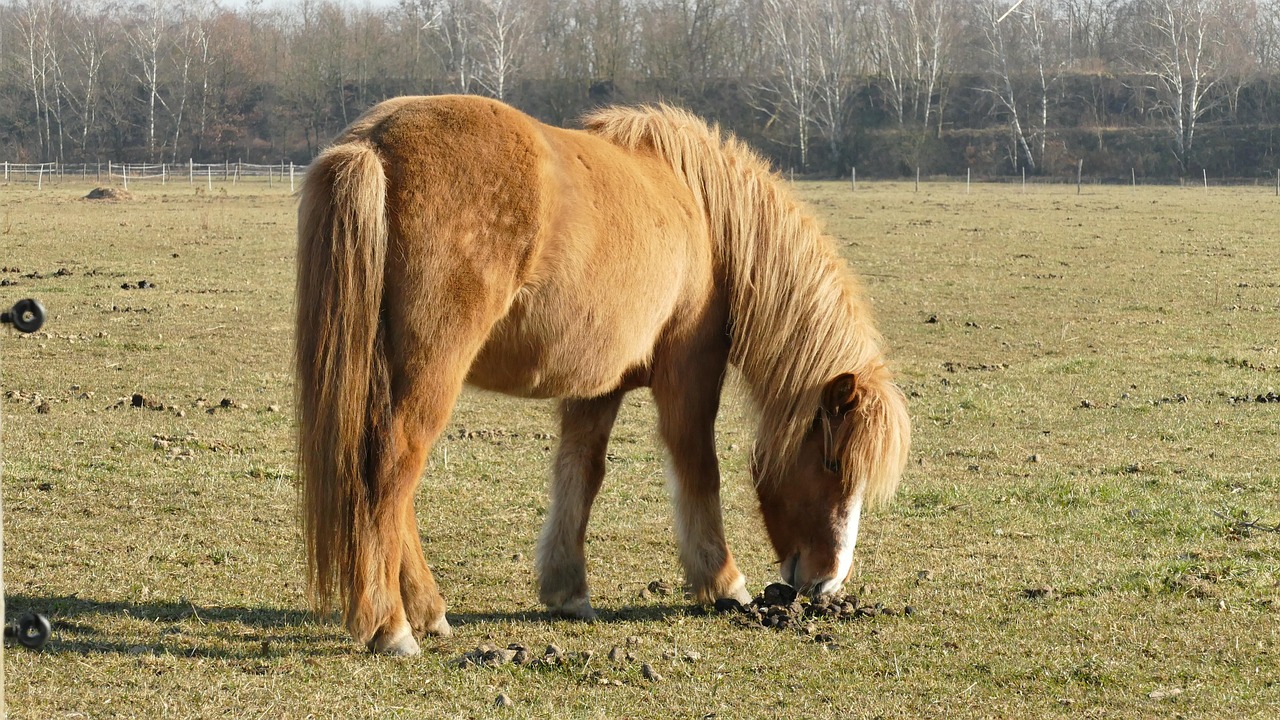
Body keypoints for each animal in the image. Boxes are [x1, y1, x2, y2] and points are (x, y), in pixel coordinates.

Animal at [295, 95, 911, 655]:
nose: (826, 583)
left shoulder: (599, 383)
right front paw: (723, 582)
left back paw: (427, 612)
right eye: (832, 463)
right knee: (389, 474)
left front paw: (567, 589)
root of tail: (374, 144)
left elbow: (580, 471)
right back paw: (391, 625)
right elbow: (698, 466)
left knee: (388, 488)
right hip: (430, 371)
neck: (706, 216)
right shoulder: (690, 369)